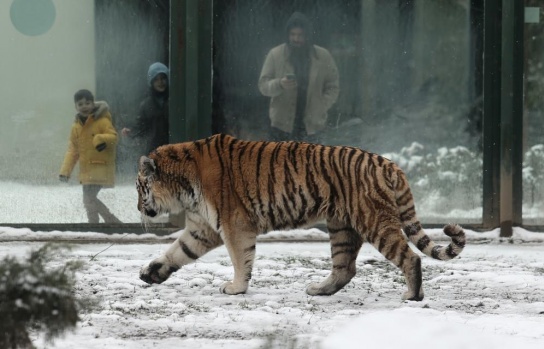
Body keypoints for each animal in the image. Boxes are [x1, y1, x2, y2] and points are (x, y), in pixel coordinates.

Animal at [139, 133, 464, 300]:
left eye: (140, 188)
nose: (140, 211)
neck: (184, 187)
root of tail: (389, 163)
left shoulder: (235, 225)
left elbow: (240, 259)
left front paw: (236, 288)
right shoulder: (202, 228)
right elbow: (177, 251)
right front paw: (151, 272)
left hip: (374, 221)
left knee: (411, 257)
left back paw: (412, 296)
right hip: (342, 227)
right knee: (346, 268)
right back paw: (319, 290)